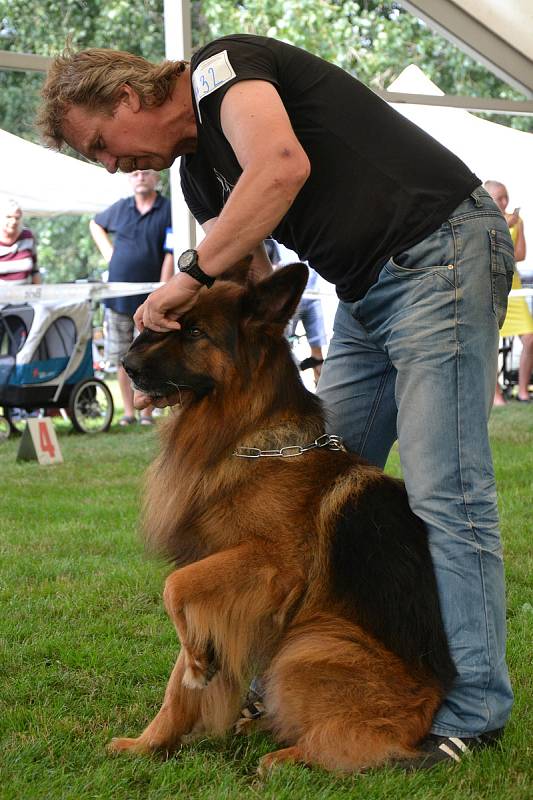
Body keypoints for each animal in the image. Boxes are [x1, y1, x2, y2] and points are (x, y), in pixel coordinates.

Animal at [114, 264, 456, 776]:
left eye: (194, 332)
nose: (126, 364)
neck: (247, 439)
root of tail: (428, 712)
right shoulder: (217, 575)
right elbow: (177, 685)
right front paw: (150, 743)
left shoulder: (270, 567)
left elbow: (173, 591)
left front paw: (197, 659)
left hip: (307, 647)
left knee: (359, 743)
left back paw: (287, 757)